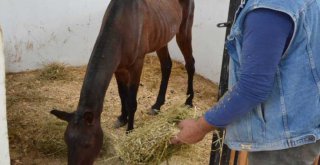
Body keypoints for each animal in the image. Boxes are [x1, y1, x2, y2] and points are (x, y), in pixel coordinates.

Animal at [51, 0, 194, 164]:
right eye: (66, 141)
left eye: (87, 144)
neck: (121, 26)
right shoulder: (118, 69)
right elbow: (122, 94)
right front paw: (122, 118)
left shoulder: (137, 65)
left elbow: (131, 101)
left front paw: (130, 131)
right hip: (162, 38)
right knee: (166, 66)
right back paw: (157, 105)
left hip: (184, 31)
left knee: (190, 63)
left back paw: (189, 101)